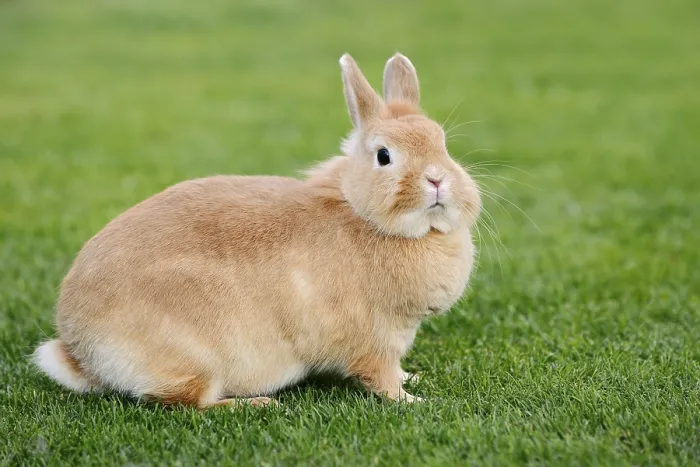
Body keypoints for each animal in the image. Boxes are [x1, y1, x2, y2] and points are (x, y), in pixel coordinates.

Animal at [33, 53, 481, 408]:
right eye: (384, 156)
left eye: (443, 144)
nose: (438, 179)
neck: (361, 214)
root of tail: (81, 349)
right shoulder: (375, 340)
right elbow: (382, 379)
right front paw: (415, 400)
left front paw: (415, 378)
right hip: (197, 361)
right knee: (185, 403)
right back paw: (255, 405)